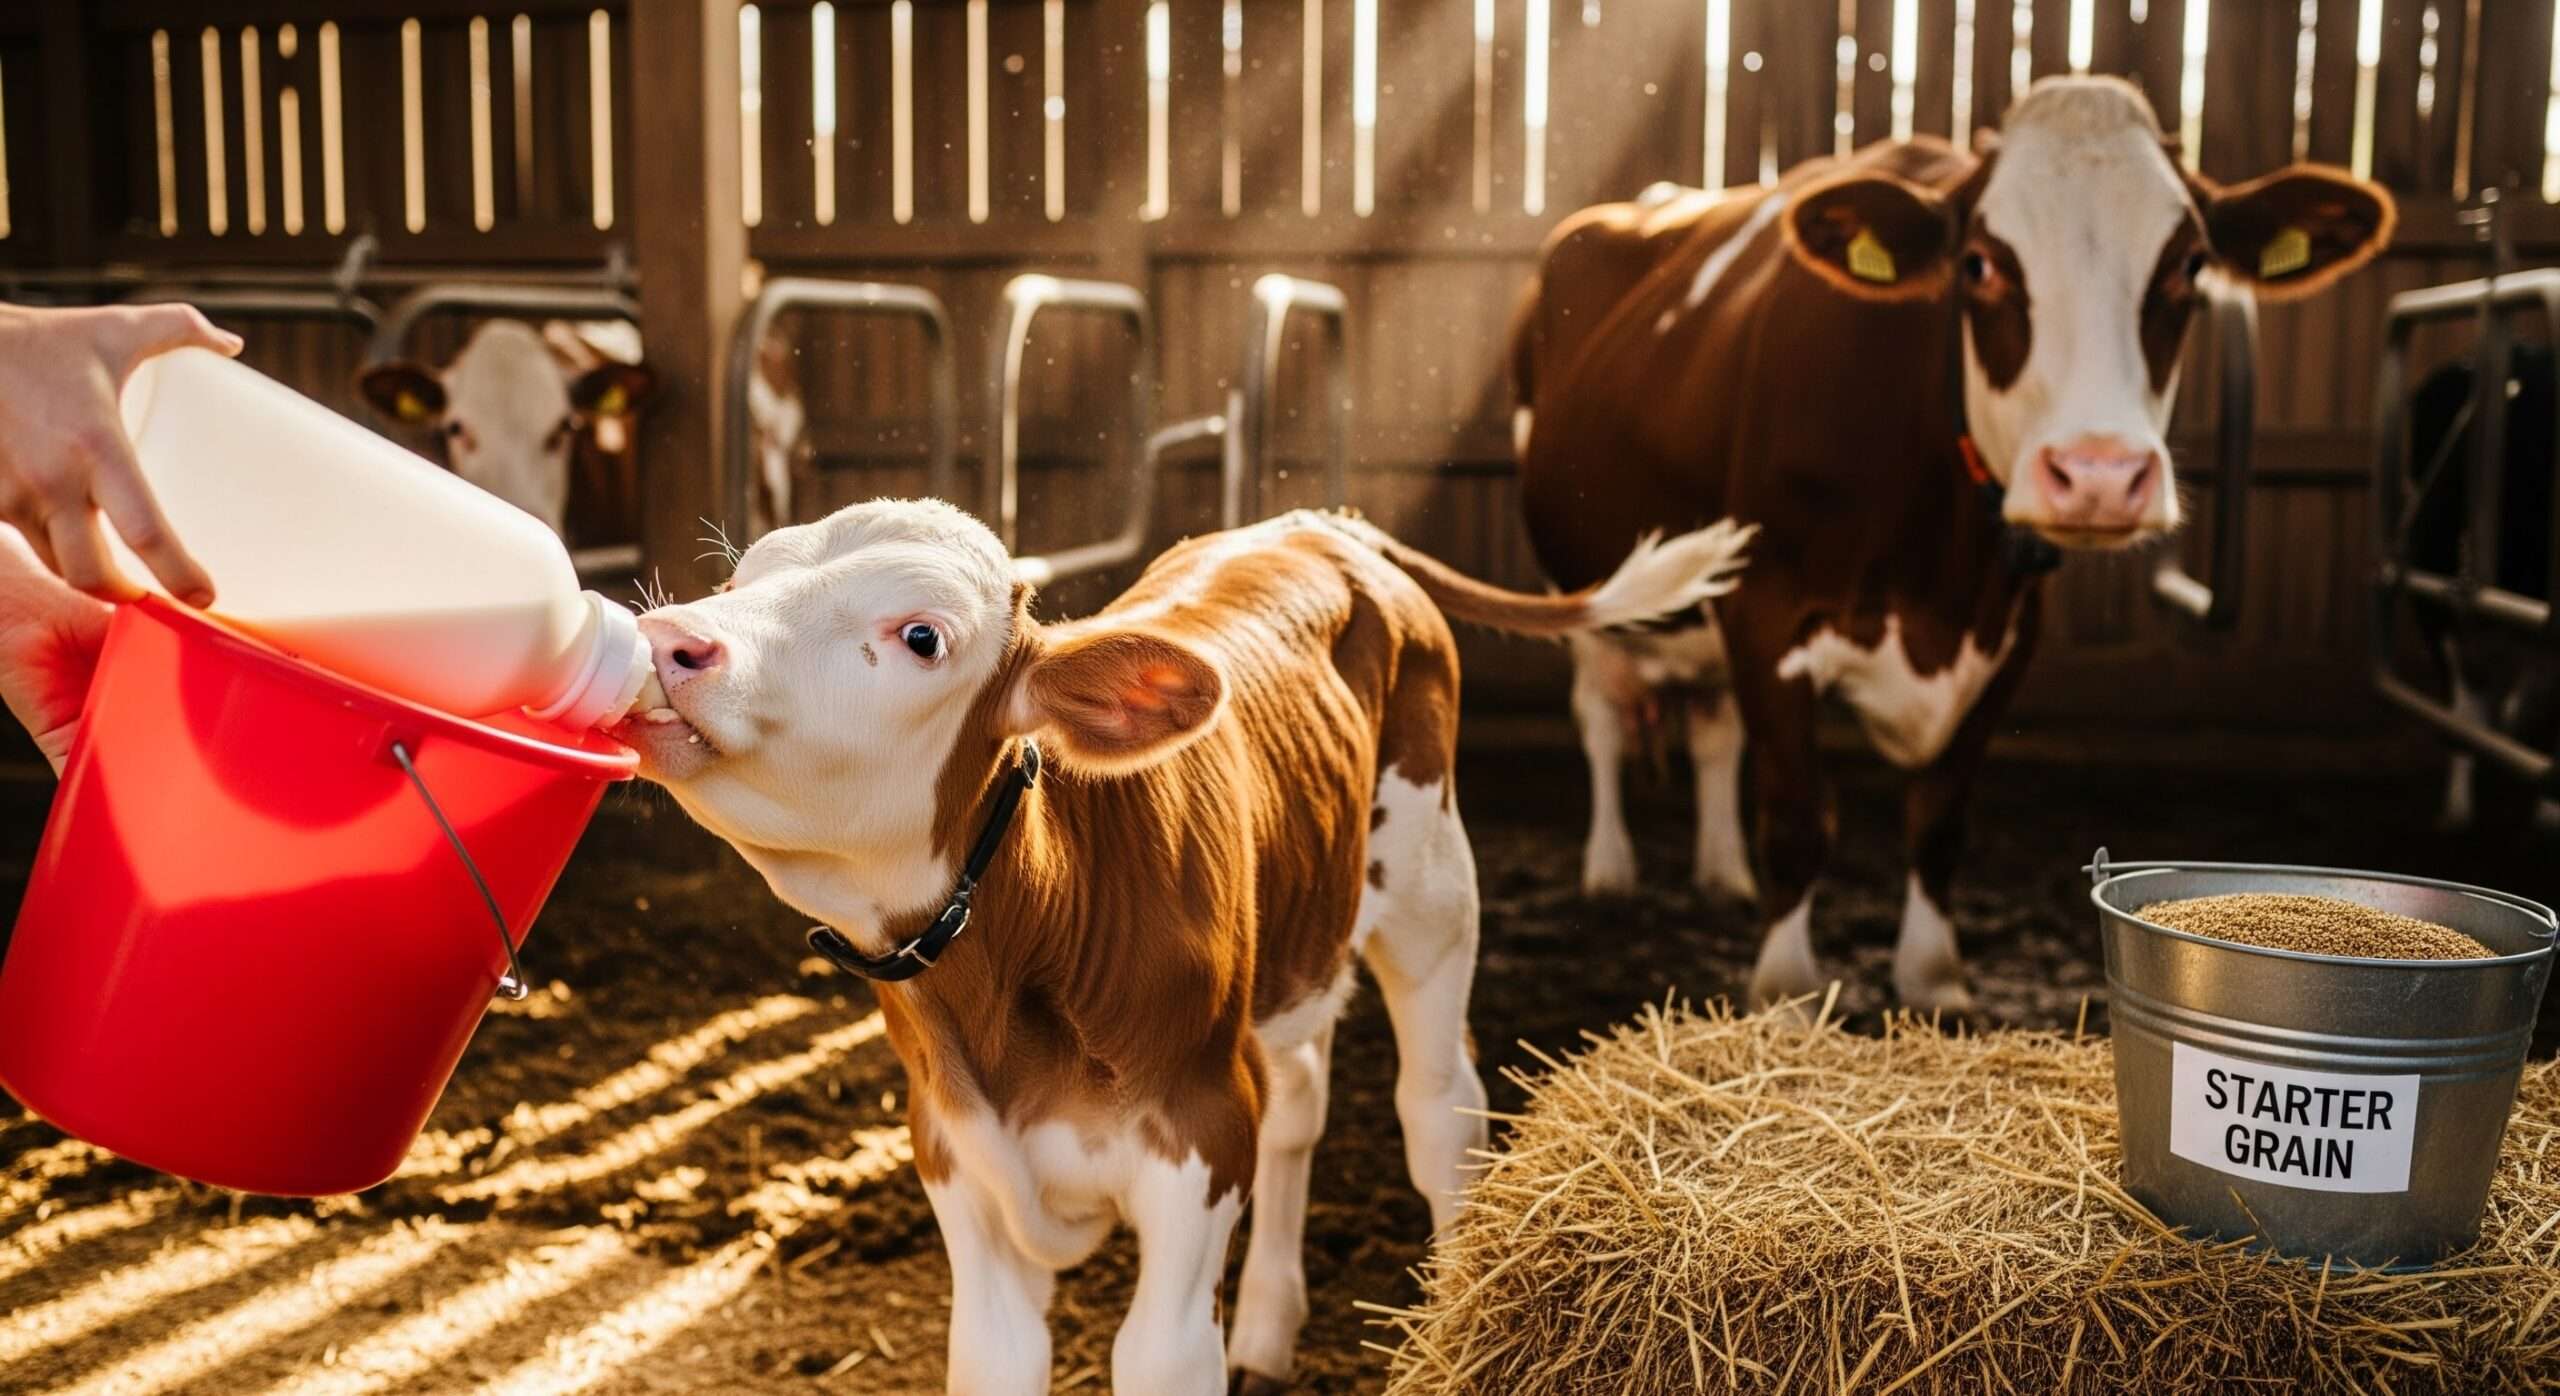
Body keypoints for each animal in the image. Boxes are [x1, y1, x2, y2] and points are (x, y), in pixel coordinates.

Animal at [615, 498, 1752, 1394]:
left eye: (923, 636)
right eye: (740, 575)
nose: (671, 639)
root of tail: (1325, 522)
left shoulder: (1200, 1126)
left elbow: (1159, 1357)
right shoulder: (948, 1145)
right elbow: (991, 1355)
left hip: (1433, 886)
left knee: (1439, 1113)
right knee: (1301, 1100)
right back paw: (1266, 1333)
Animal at [1510, 76, 2394, 1012]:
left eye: (2189, 265)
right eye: (1979, 264)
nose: (2100, 473)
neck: (1939, 572)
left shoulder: (2007, 635)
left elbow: (1938, 821)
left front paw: (1934, 979)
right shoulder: (1767, 614)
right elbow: (1797, 813)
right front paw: (1786, 991)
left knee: (1712, 730)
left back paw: (1722, 873)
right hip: (1582, 590)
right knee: (1600, 718)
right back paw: (1609, 870)